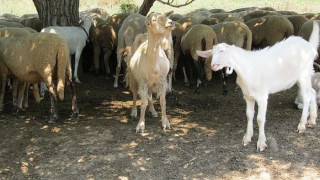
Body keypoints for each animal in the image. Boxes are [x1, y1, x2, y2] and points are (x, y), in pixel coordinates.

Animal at [196, 20, 318, 151]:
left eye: (222, 51)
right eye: (211, 53)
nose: (213, 66)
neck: (246, 67)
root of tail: (309, 46)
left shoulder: (262, 96)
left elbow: (260, 119)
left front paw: (261, 143)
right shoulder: (248, 96)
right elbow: (249, 115)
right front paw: (247, 138)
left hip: (304, 74)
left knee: (306, 97)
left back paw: (302, 125)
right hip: (301, 77)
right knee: (312, 93)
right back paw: (312, 120)